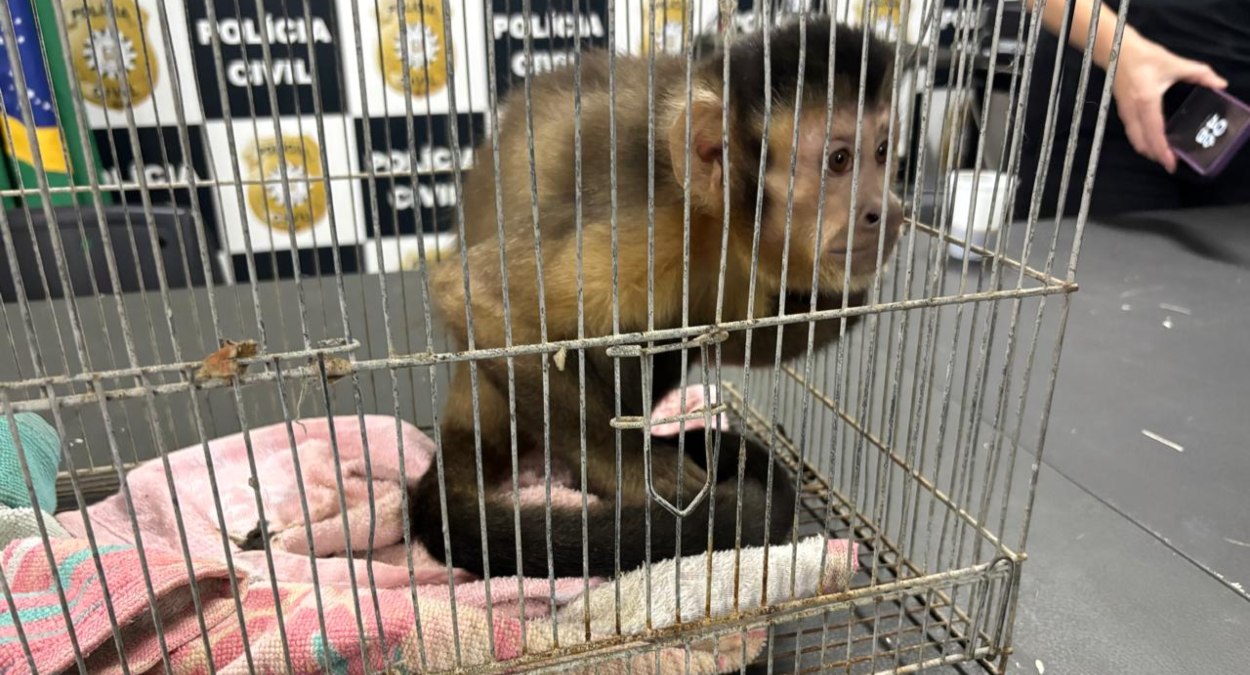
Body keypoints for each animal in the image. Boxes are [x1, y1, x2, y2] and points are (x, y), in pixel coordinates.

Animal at [410, 16, 904, 581]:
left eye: (882, 152)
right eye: (839, 161)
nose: (885, 209)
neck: (710, 221)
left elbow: (741, 341)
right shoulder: (651, 224)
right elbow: (478, 295)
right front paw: (634, 470)